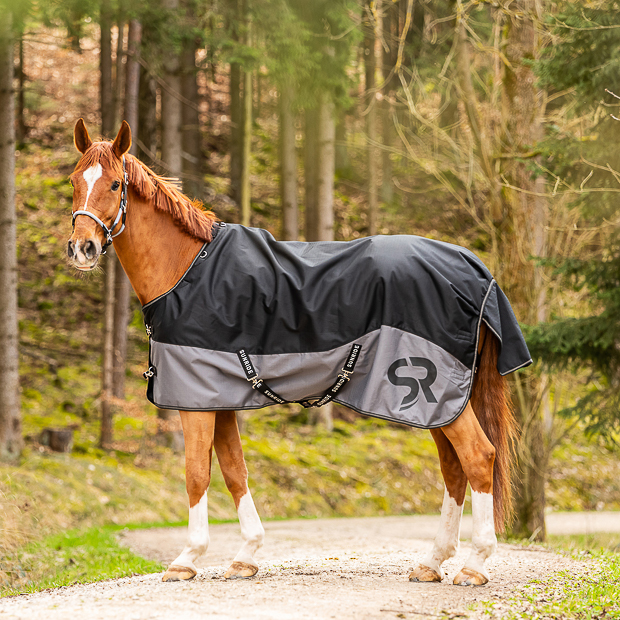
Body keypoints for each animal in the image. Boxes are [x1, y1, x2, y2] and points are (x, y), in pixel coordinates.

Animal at [66, 120, 520, 588]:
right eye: (73, 182)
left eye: (114, 183)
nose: (82, 249)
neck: (188, 268)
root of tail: (471, 266)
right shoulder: (218, 397)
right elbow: (234, 471)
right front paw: (246, 555)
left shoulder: (196, 401)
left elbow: (196, 474)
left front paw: (187, 559)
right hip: (439, 404)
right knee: (454, 468)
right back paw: (432, 562)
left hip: (434, 394)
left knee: (478, 458)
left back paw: (474, 565)